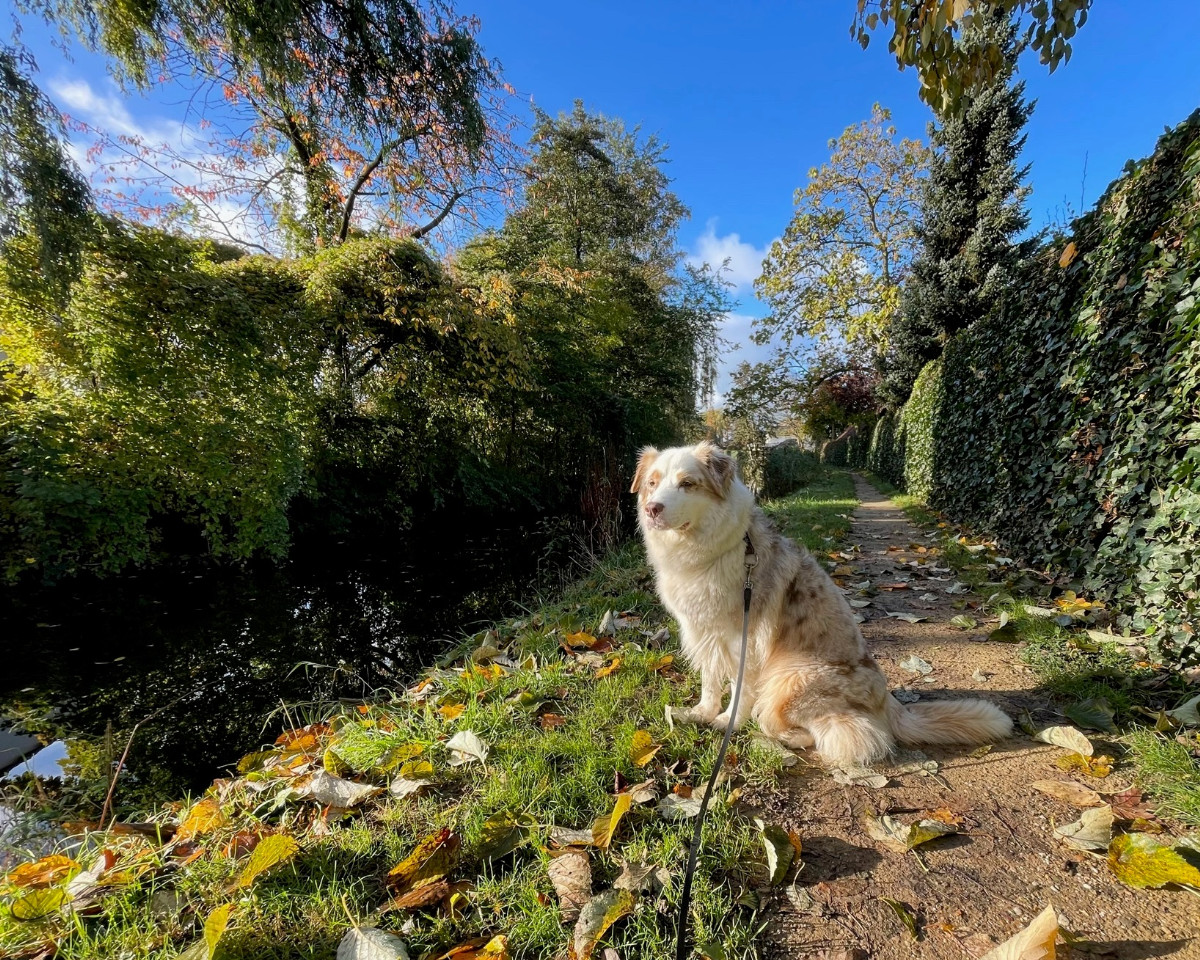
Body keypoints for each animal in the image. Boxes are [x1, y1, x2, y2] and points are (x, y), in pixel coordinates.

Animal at [628, 441, 1012, 763]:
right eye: (652, 483)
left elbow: (739, 691)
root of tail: (890, 704)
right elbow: (710, 682)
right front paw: (701, 714)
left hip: (788, 680)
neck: (705, 548)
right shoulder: (706, 634)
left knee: (849, 735)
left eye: (687, 484)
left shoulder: (744, 641)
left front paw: (727, 723)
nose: (652, 509)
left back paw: (777, 735)